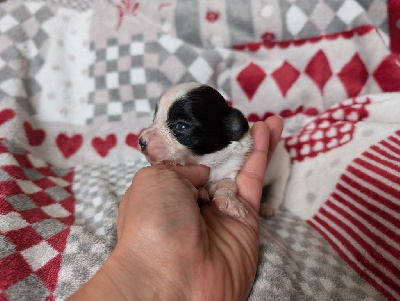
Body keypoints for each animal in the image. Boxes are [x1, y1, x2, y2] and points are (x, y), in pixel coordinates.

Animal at [139, 82, 290, 218]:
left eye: (181, 126)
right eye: (154, 118)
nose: (141, 142)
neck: (208, 161)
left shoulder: (230, 170)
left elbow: (227, 184)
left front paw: (230, 203)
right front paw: (202, 193)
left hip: (282, 170)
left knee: (277, 191)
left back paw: (269, 208)